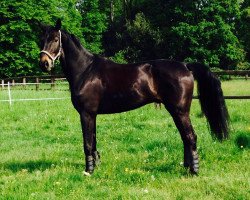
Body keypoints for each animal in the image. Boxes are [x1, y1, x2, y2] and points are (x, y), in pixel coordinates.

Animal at [38, 19, 229, 176]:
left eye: (55, 39)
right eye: (41, 39)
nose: (44, 63)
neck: (86, 70)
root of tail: (185, 65)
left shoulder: (86, 113)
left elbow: (87, 143)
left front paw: (88, 171)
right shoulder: (92, 114)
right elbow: (93, 140)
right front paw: (96, 166)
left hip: (180, 111)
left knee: (190, 137)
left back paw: (193, 171)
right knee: (185, 138)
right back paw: (187, 167)